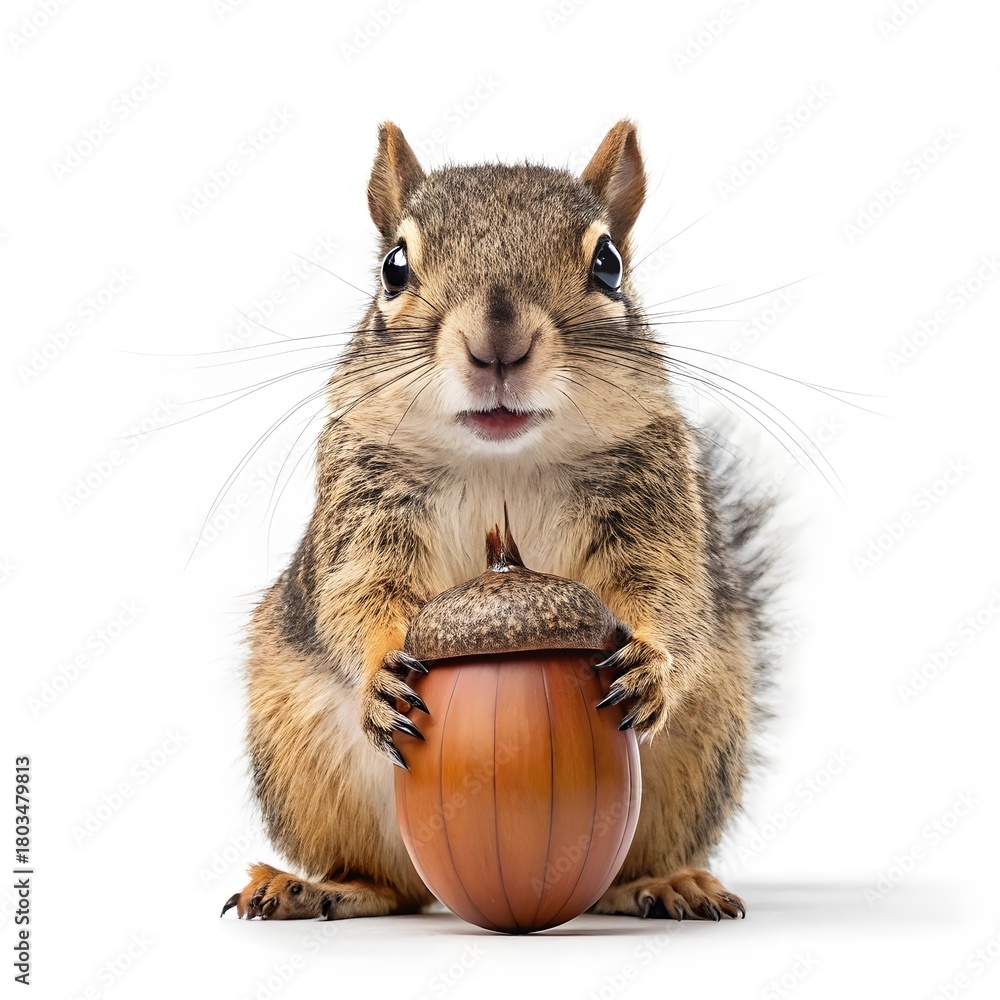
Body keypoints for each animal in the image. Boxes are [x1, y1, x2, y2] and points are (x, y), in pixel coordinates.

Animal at [221, 120, 773, 923]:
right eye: (393, 266)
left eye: (608, 264)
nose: (497, 345)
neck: (501, 460)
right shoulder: (364, 508)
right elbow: (359, 596)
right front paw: (379, 676)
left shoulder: (654, 506)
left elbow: (671, 595)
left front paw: (654, 663)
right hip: (300, 758)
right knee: (390, 884)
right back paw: (316, 887)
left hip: (701, 758)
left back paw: (665, 883)